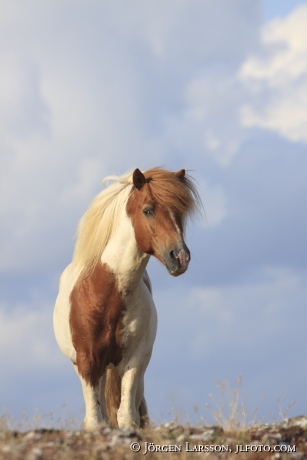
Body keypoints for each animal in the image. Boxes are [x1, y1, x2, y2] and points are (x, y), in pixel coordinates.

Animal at [53, 167, 202, 430]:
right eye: (148, 210)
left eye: (180, 212)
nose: (180, 257)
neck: (104, 294)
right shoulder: (88, 363)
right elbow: (95, 421)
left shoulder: (136, 360)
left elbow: (127, 417)